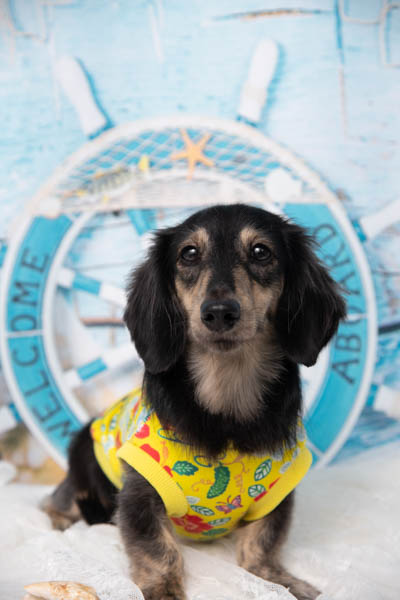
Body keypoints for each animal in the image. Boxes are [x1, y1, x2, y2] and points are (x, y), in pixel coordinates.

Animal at [42, 204, 346, 600]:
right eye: (189, 253)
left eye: (261, 251)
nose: (218, 312)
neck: (226, 398)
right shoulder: (139, 493)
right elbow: (158, 549)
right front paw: (162, 589)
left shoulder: (277, 495)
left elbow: (261, 544)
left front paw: (280, 581)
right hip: (84, 464)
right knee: (55, 502)